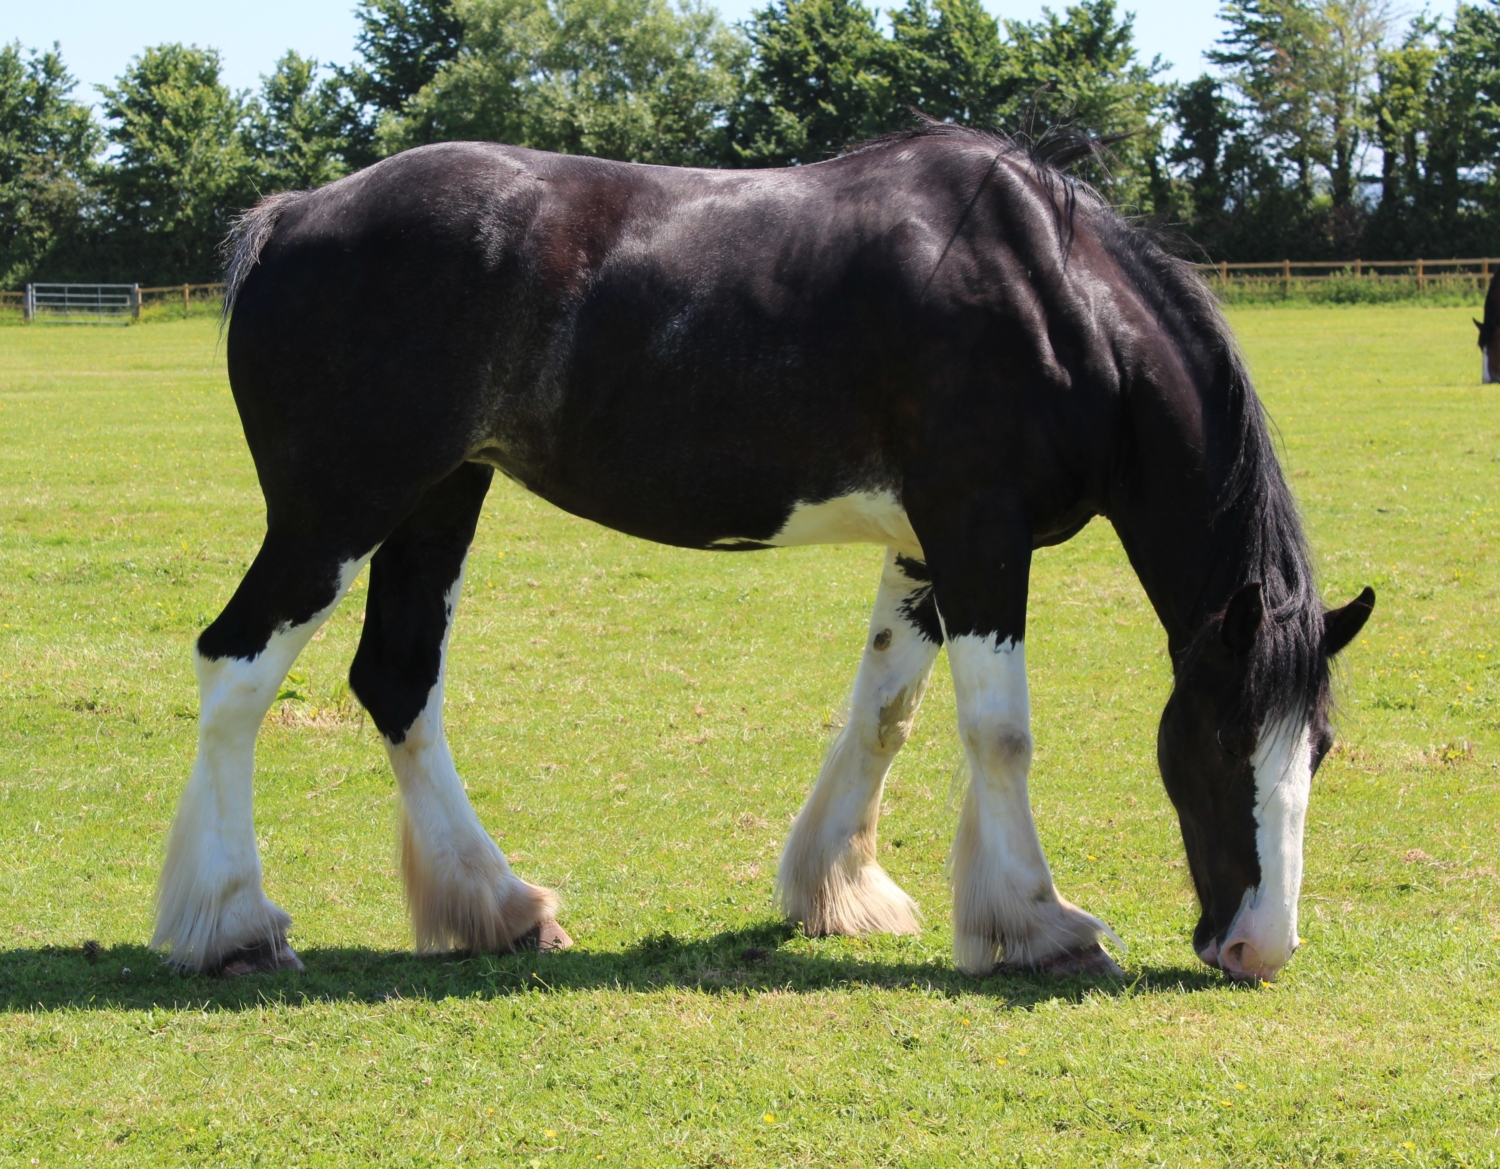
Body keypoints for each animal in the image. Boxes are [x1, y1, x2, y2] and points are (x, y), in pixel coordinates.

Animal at [152, 126, 1374, 990]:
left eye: (1317, 743)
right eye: (1215, 742)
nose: (1258, 947)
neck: (1052, 294)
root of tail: (294, 216)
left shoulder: (926, 550)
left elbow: (885, 715)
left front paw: (835, 887)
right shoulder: (980, 533)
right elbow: (1001, 735)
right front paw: (1042, 925)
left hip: (440, 496)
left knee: (397, 681)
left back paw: (500, 906)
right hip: (336, 513)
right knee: (235, 668)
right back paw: (233, 925)